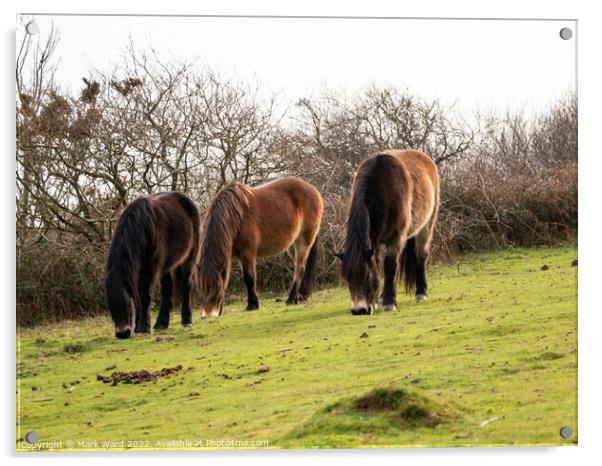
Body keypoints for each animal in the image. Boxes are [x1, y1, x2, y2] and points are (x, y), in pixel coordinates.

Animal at [105, 192, 202, 338]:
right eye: (110, 307)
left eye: (128, 305)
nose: (122, 333)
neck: (143, 226)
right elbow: (138, 296)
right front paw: (140, 326)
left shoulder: (149, 268)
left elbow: (144, 296)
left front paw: (143, 328)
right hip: (167, 265)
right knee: (167, 288)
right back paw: (161, 324)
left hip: (189, 256)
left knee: (186, 285)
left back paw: (186, 320)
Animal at [197, 177, 322, 318]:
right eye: (201, 289)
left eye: (217, 289)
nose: (208, 315)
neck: (236, 217)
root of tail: (313, 189)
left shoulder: (247, 254)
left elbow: (249, 279)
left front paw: (252, 305)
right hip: (292, 245)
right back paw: (301, 297)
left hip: (304, 241)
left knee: (299, 269)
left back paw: (291, 299)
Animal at [336, 149, 438, 316]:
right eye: (347, 277)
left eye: (366, 276)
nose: (359, 310)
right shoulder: (374, 243)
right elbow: (378, 267)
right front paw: (377, 301)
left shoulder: (396, 238)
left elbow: (390, 266)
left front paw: (390, 302)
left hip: (426, 227)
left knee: (420, 256)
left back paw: (421, 292)